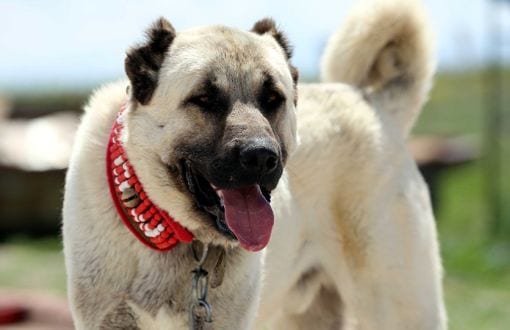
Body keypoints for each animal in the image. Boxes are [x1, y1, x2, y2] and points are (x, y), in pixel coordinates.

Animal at [62, 0, 446, 328]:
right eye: (204, 99)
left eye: (273, 98)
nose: (261, 155)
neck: (181, 235)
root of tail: (373, 102)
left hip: (400, 304)